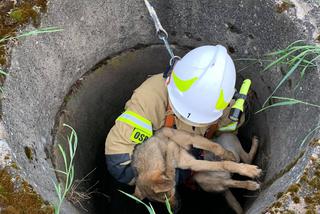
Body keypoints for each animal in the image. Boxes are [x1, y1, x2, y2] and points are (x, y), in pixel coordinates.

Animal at [130, 127, 260, 209]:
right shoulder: (193, 163)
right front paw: (249, 171)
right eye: (163, 202)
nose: (175, 210)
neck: (165, 154)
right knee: (235, 176)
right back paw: (251, 184)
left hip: (229, 137)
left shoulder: (189, 140)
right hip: (209, 180)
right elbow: (224, 164)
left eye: (170, 195)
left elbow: (217, 149)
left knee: (244, 159)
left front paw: (230, 157)